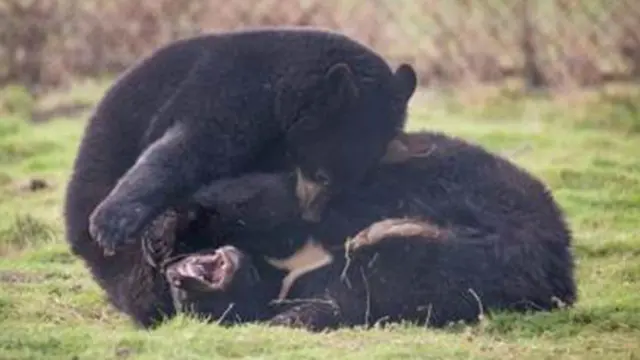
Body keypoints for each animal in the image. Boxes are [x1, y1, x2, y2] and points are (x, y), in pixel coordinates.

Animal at [62, 27, 418, 326]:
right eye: (324, 175)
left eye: (351, 180)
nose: (312, 216)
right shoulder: (232, 91)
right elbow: (188, 145)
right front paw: (110, 224)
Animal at [148, 131, 576, 330]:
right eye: (188, 305)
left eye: (180, 294)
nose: (178, 277)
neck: (271, 271)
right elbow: (340, 300)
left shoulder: (297, 213)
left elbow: (260, 201)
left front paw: (163, 232)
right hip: (496, 274)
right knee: (453, 268)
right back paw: (388, 233)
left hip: (482, 180)